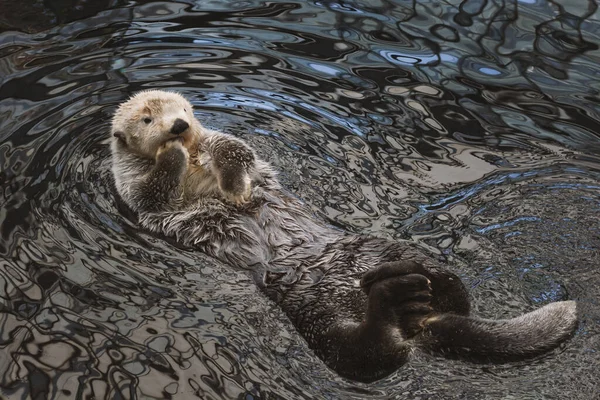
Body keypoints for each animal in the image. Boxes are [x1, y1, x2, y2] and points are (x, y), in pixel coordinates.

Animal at [109, 89, 576, 382]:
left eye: (186, 109)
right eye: (148, 118)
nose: (178, 126)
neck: (193, 163)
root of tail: (417, 325)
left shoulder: (224, 146)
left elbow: (237, 151)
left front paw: (233, 181)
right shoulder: (133, 191)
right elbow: (152, 191)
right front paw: (170, 156)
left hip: (375, 249)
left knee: (449, 298)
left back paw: (428, 280)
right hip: (313, 313)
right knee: (366, 355)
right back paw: (397, 300)